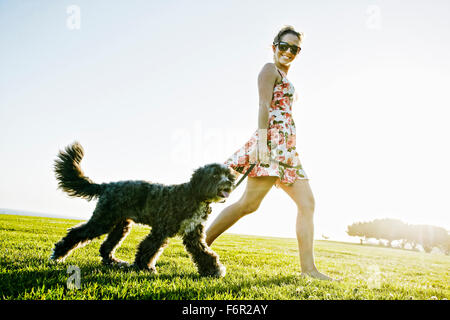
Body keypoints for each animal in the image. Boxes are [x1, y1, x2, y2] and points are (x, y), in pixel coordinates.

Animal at [50, 141, 236, 276]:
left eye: (227, 175)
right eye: (215, 175)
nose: (230, 181)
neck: (194, 195)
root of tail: (107, 185)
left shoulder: (193, 234)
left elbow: (204, 252)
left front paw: (213, 270)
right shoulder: (161, 229)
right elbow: (149, 247)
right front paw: (145, 267)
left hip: (121, 225)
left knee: (105, 247)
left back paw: (114, 262)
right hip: (104, 220)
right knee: (77, 233)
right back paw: (58, 254)